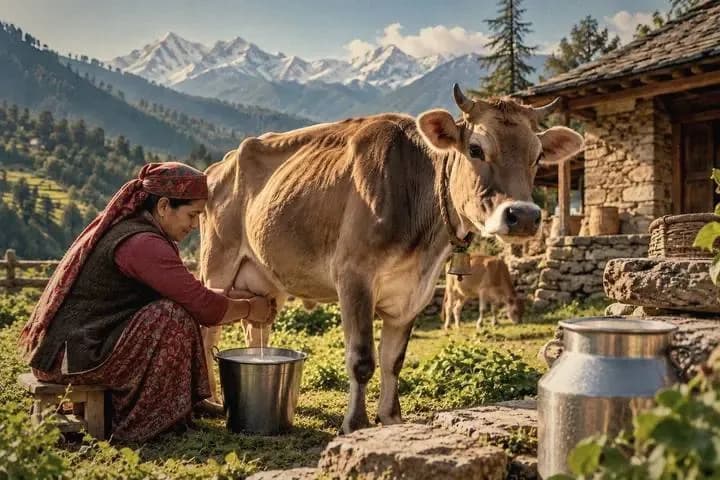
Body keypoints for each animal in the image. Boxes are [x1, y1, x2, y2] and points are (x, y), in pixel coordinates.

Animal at [198, 84, 584, 433]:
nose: (524, 216)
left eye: (538, 156)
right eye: (476, 148)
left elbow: (393, 360)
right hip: (217, 262)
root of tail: (220, 165)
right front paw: (355, 424)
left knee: (256, 326)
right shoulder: (353, 275)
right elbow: (362, 360)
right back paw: (209, 403)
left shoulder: (414, 291)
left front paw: (390, 417)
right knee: (208, 328)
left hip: (266, 276)